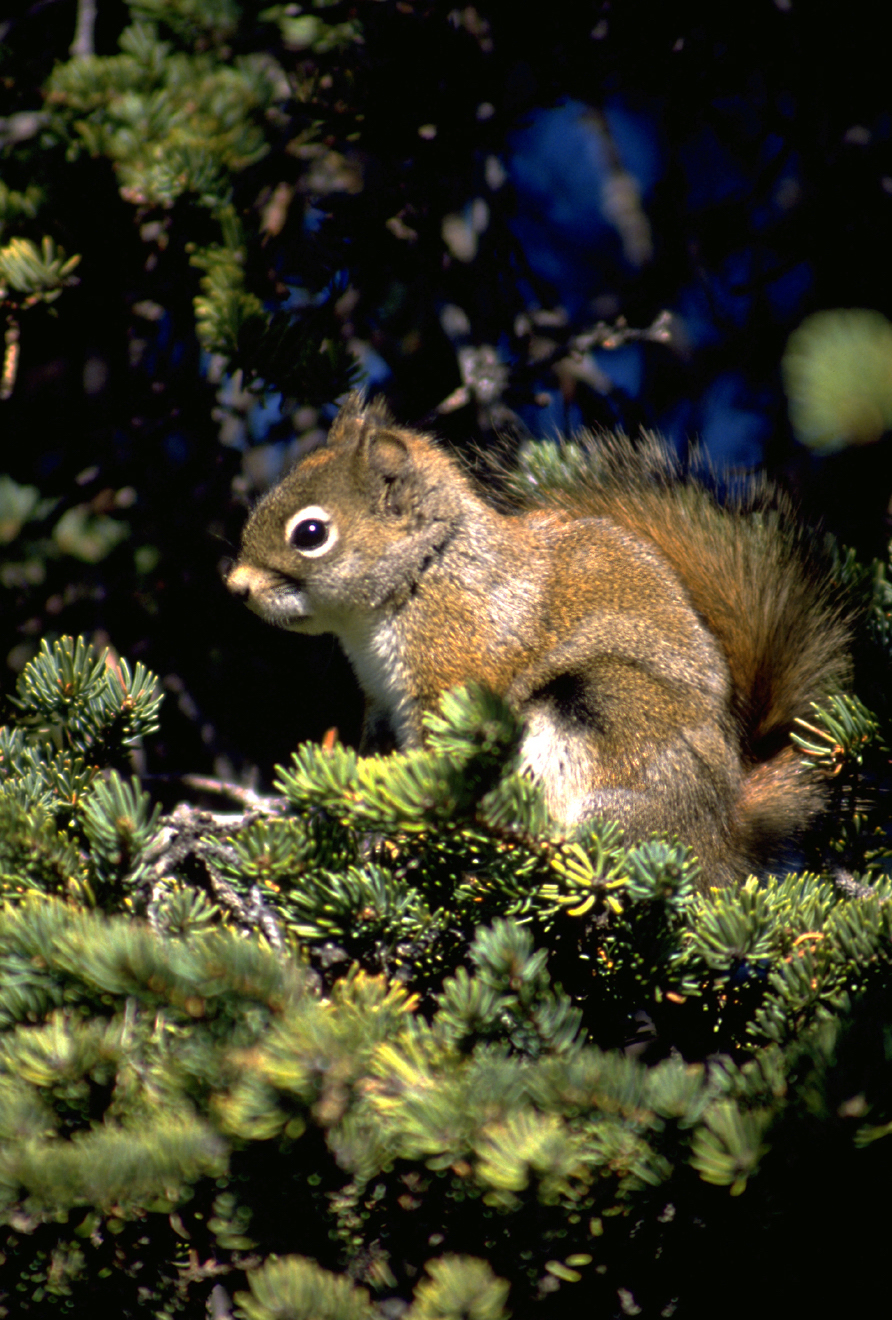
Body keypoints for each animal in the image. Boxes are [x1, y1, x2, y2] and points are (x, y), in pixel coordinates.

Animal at [228, 390, 849, 887]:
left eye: (311, 533)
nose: (236, 587)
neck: (424, 574)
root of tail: (727, 827)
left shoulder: (454, 670)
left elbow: (438, 762)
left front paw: (404, 833)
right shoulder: (382, 700)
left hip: (607, 715)